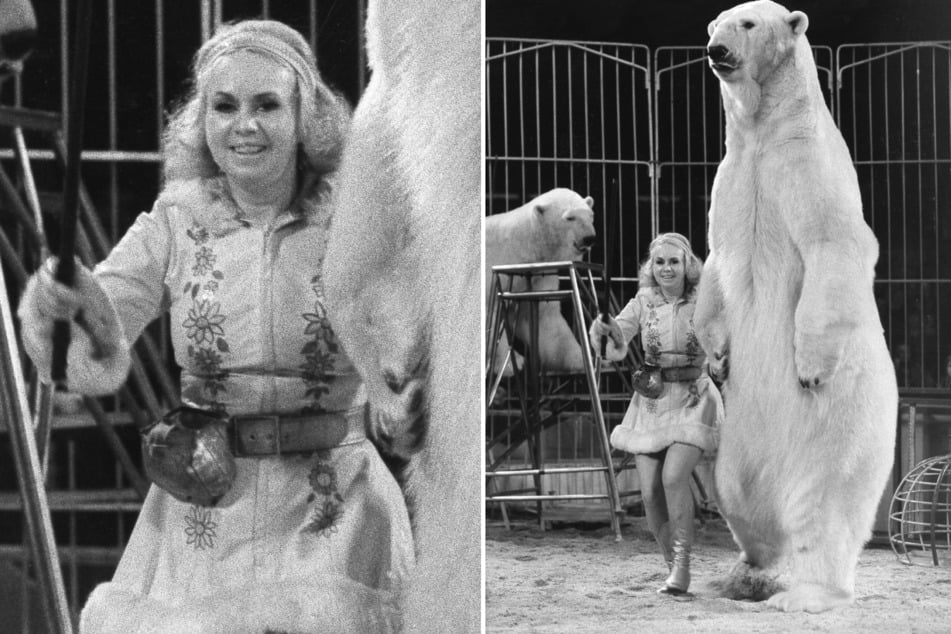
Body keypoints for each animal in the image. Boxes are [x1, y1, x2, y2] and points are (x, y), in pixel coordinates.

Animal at [488, 188, 600, 376]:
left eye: (591, 215)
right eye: (570, 217)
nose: (589, 238)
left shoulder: (539, 274)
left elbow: (545, 317)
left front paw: (582, 360)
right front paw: (512, 364)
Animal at [696, 0, 896, 612]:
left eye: (748, 24)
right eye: (715, 24)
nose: (716, 50)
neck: (767, 133)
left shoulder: (806, 170)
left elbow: (836, 244)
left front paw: (807, 367)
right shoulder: (732, 177)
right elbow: (716, 262)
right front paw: (717, 357)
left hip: (843, 430)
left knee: (825, 507)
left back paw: (805, 593)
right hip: (733, 436)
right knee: (739, 495)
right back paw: (750, 571)